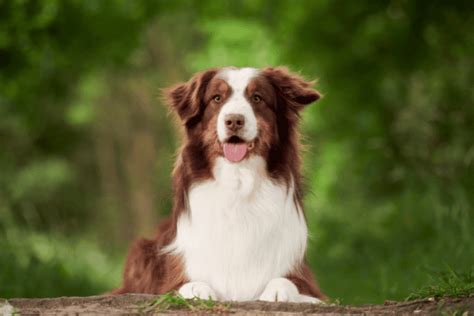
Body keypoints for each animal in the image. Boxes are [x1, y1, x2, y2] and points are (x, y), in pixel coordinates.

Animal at [113, 67, 326, 304]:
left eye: (257, 98)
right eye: (217, 98)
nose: (234, 120)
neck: (238, 182)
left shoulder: (307, 282)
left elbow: (286, 282)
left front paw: (277, 291)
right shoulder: (172, 276)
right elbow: (186, 284)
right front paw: (197, 290)